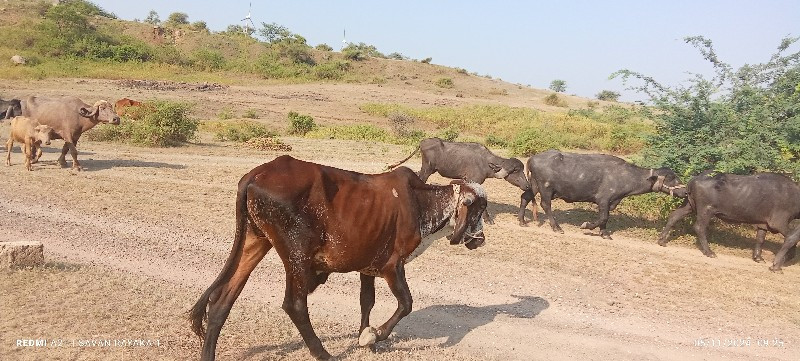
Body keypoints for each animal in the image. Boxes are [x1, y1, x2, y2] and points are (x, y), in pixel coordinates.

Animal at [189, 155, 488, 360]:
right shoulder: (393, 265)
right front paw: (372, 336)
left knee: (222, 300)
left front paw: (364, 337)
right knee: (294, 305)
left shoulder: (368, 267)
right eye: (478, 209)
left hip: (256, 240)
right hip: (297, 254)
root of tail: (256, 175)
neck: (420, 203)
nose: (480, 240)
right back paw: (323, 353)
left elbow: (367, 302)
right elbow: (406, 304)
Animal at [388, 137, 532, 222]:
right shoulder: (475, 182)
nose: (527, 185)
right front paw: (487, 219)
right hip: (427, 169)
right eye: (515, 171)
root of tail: (423, 142)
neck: (485, 162)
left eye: (521, 169)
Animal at [520, 150, 684, 238]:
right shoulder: (603, 200)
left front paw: (604, 233)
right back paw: (557, 227)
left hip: (534, 185)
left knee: (525, 198)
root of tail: (533, 158)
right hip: (546, 188)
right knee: (545, 205)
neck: (625, 176)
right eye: (671, 178)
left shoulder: (611, 202)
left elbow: (605, 219)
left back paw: (522, 221)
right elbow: (603, 217)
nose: (684, 191)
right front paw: (587, 226)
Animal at [660, 172, 796, 268]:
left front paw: (758, 258)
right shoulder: (778, 223)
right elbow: (792, 237)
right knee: (699, 227)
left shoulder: (763, 224)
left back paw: (661, 240)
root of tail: (695, 179)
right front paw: (787, 258)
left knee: (674, 216)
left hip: (689, 205)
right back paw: (709, 252)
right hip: (706, 210)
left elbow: (760, 239)